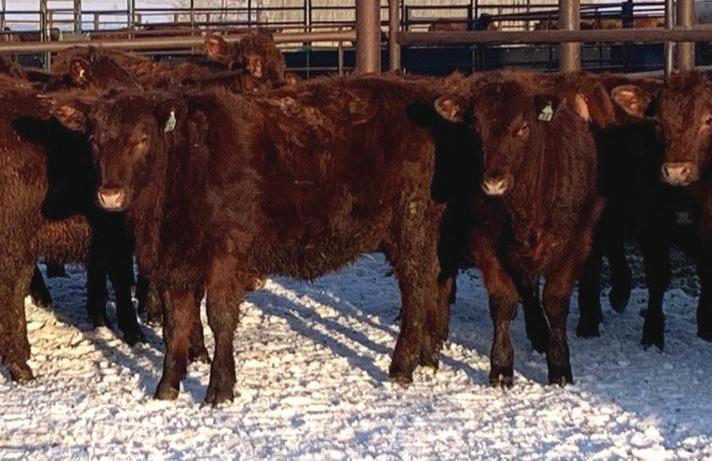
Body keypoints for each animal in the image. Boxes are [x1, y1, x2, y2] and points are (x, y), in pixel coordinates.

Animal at [432, 72, 603, 386]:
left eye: (523, 127)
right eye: (474, 128)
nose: (493, 182)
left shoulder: (573, 244)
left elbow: (555, 302)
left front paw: (559, 365)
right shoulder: (484, 242)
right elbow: (503, 301)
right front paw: (501, 366)